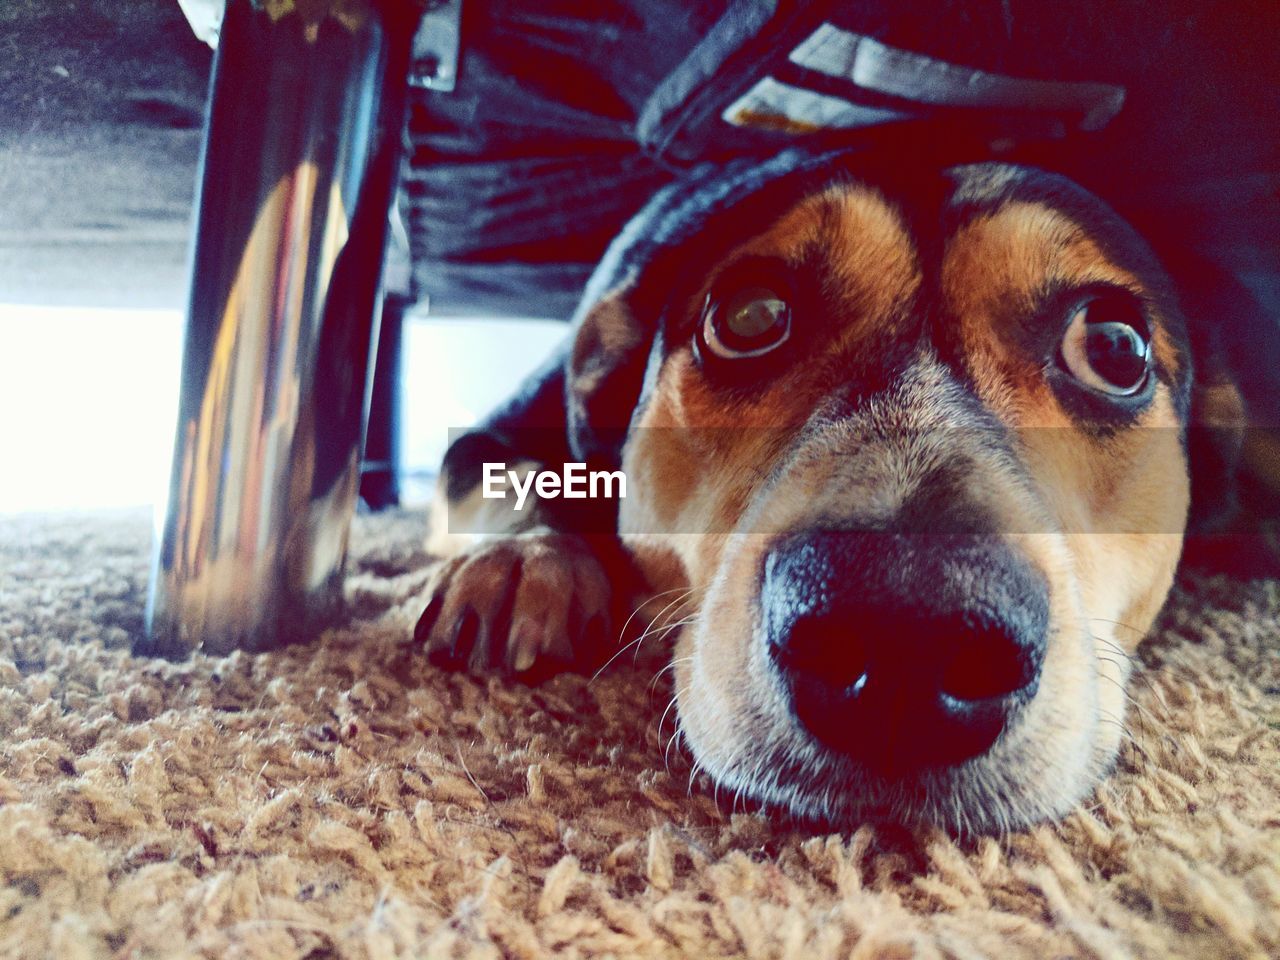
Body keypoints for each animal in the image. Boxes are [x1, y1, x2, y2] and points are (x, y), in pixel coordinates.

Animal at [414, 150, 1254, 834]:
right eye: (750, 315)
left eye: (1114, 348)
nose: (907, 629)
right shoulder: (490, 434)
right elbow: (509, 476)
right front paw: (526, 565)